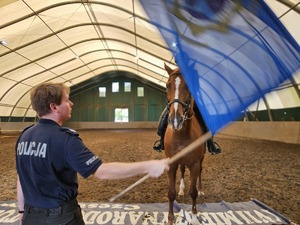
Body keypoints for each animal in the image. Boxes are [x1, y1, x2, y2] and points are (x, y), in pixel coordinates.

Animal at [163, 63, 205, 225]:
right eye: (167, 86)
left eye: (188, 87)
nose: (175, 120)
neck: (181, 134)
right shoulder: (172, 163)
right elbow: (171, 193)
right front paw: (170, 219)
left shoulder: (194, 163)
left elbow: (193, 192)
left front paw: (193, 217)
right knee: (182, 170)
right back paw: (181, 189)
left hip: (201, 159)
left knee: (200, 172)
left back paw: (201, 189)